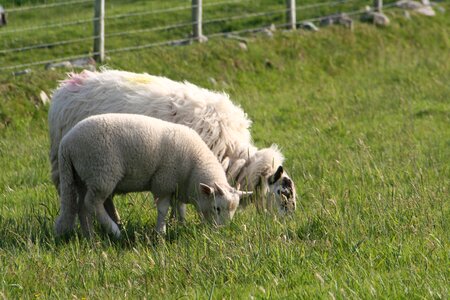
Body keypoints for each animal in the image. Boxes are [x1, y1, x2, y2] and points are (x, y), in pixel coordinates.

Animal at [53, 112, 250, 237]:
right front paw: (160, 233)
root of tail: (66, 144)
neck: (193, 167)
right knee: (92, 203)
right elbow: (163, 208)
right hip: (101, 173)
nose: (222, 231)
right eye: (217, 208)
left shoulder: (177, 186)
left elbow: (179, 207)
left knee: (81, 207)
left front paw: (180, 224)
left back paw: (90, 237)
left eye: (234, 210)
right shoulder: (164, 182)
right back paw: (114, 231)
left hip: (82, 177)